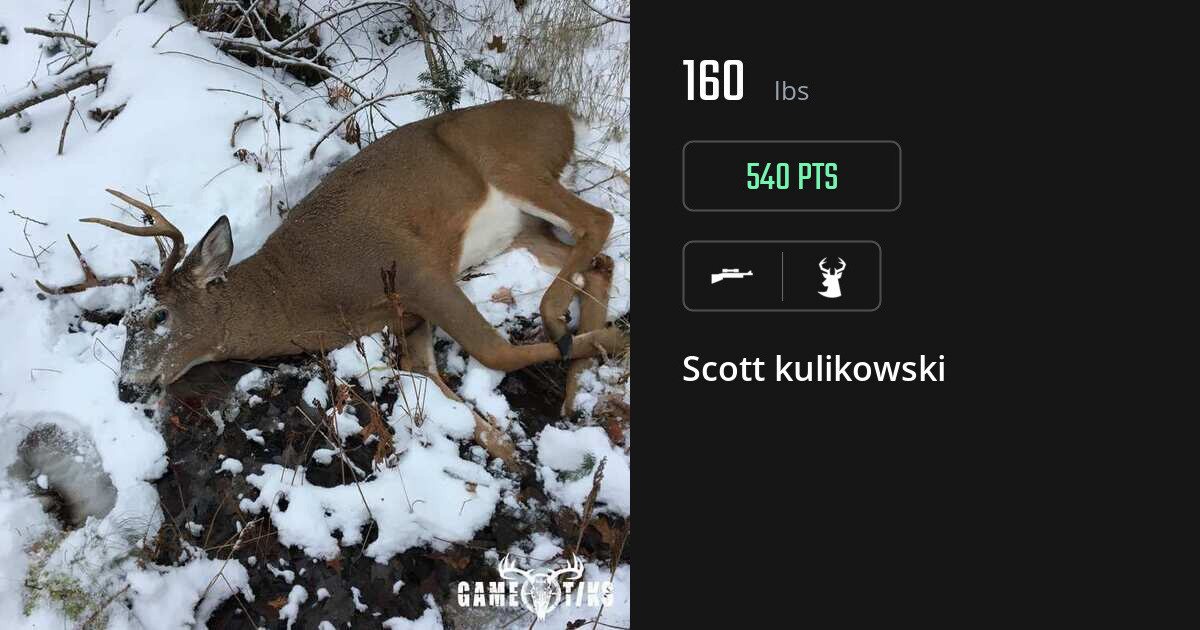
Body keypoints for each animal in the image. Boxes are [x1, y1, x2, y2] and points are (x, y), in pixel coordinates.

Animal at [37, 100, 627, 459]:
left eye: (159, 315)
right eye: (124, 326)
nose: (126, 386)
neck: (305, 292)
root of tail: (566, 116)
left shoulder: (413, 268)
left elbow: (494, 351)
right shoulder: (406, 311)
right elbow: (424, 372)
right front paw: (503, 447)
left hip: (514, 166)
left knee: (599, 220)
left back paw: (577, 332)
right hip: (521, 230)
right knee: (598, 259)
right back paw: (577, 385)